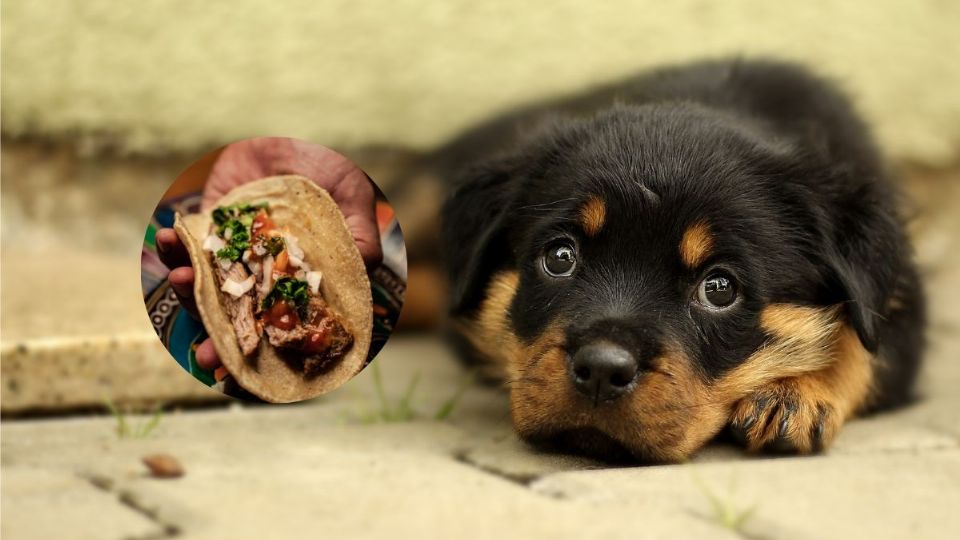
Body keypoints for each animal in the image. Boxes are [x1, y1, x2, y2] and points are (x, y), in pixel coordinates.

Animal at [438, 60, 928, 464]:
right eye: (560, 258)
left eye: (719, 288)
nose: (601, 370)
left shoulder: (900, 294)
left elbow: (864, 347)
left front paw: (795, 394)